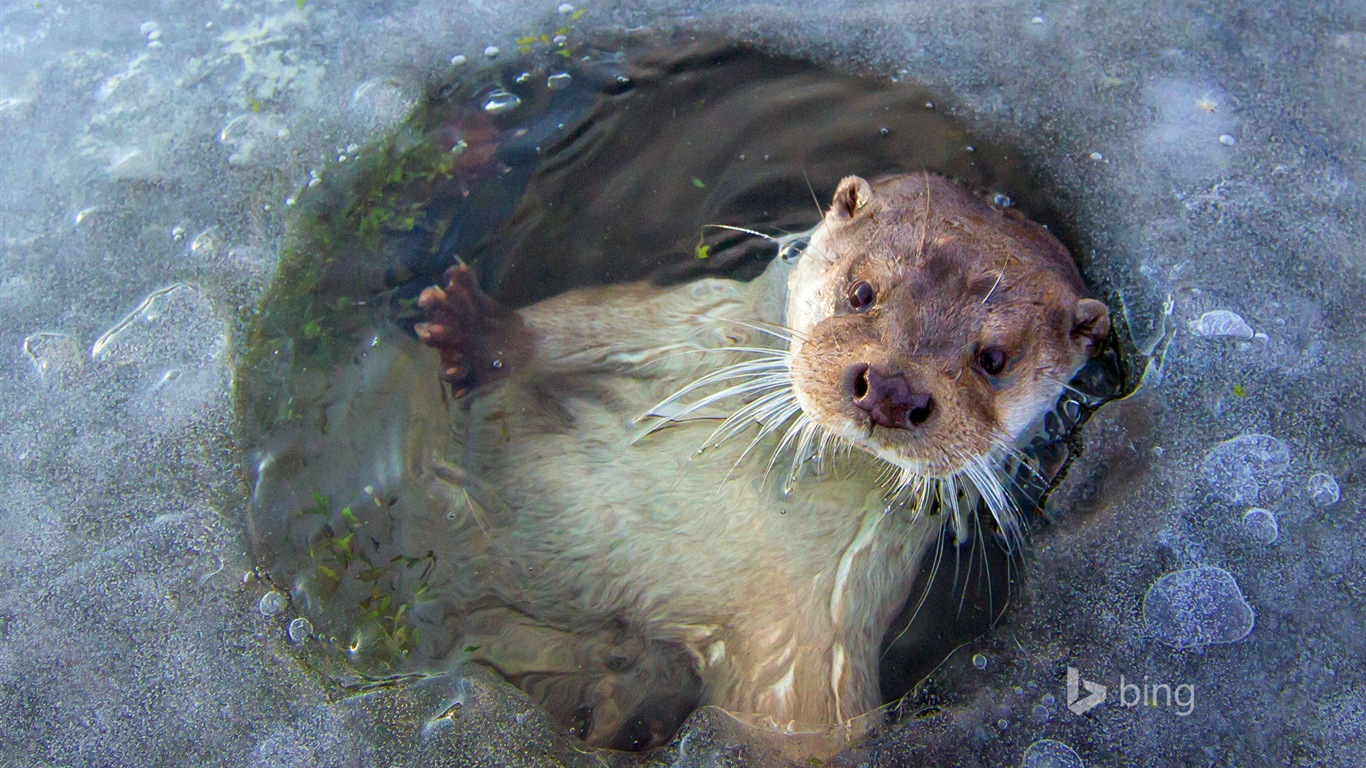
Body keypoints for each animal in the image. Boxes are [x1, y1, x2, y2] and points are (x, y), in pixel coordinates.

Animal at [412, 172, 1109, 748]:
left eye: (993, 360)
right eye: (862, 292)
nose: (892, 389)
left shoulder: (819, 637)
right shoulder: (693, 319)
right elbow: (588, 321)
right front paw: (479, 330)